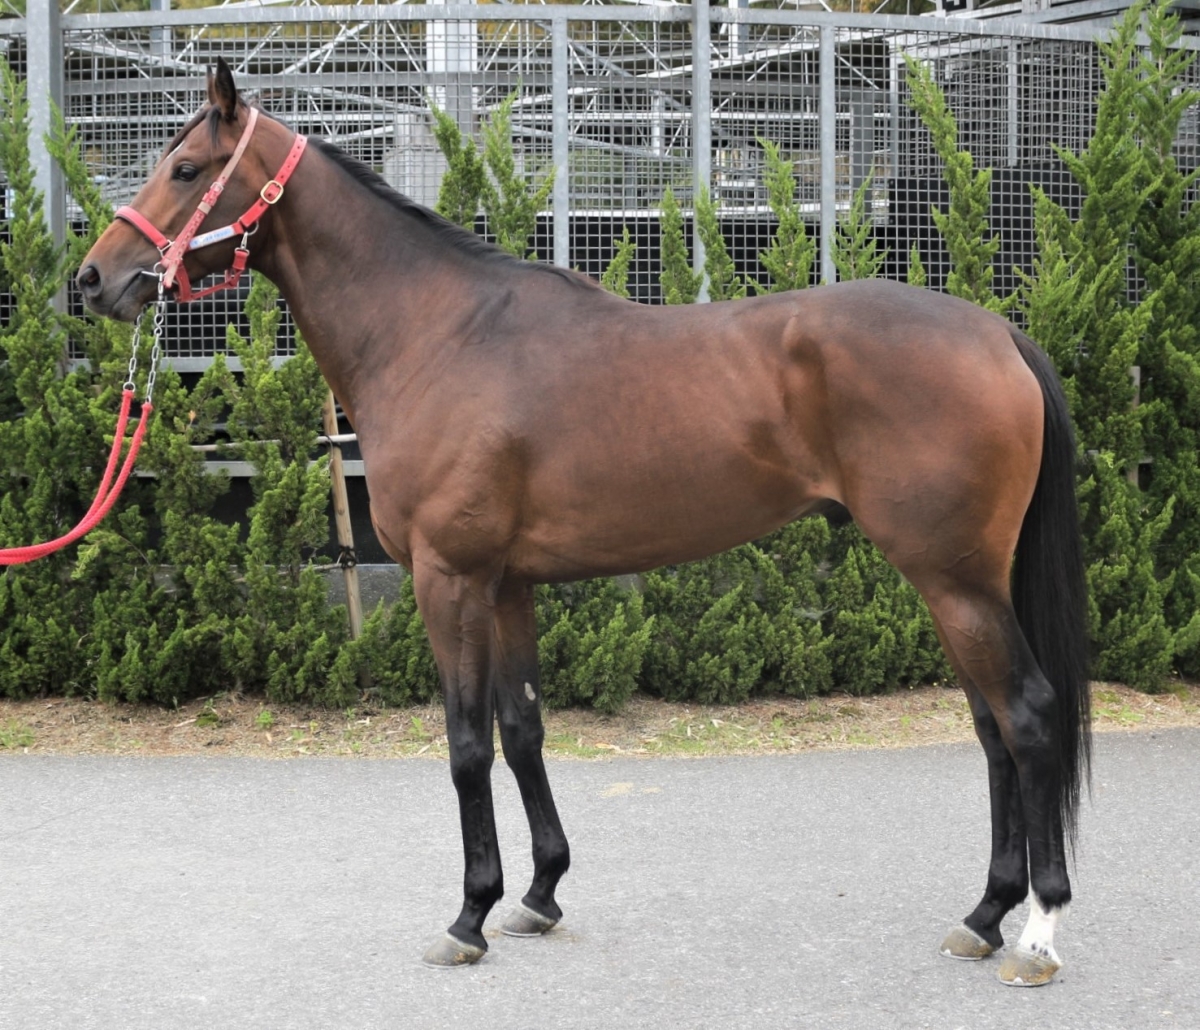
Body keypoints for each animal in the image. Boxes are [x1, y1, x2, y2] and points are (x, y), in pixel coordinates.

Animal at [78, 58, 1090, 987]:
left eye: (184, 167)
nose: (94, 280)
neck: (436, 334)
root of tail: (999, 334)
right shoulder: (508, 584)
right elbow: (523, 729)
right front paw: (537, 894)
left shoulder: (449, 579)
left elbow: (465, 745)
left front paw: (468, 916)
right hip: (960, 583)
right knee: (991, 729)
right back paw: (984, 914)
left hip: (954, 579)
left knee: (1029, 717)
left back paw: (1038, 931)